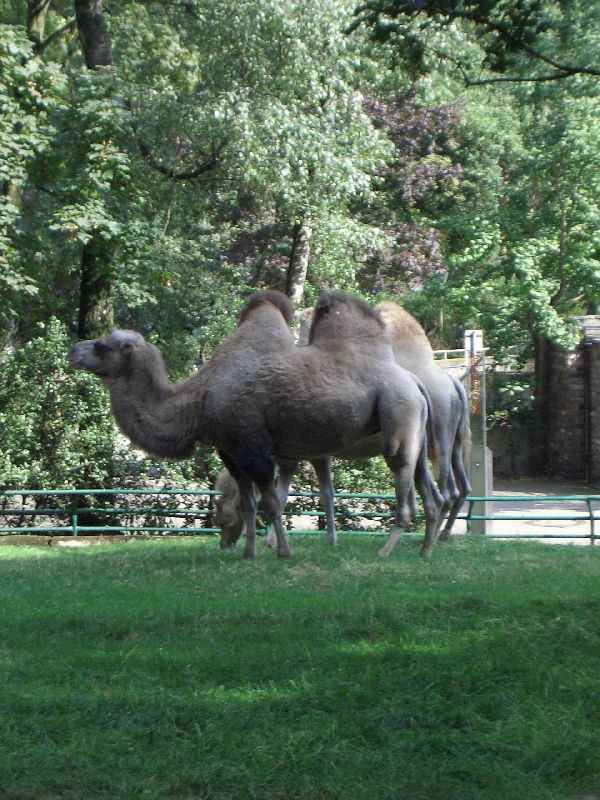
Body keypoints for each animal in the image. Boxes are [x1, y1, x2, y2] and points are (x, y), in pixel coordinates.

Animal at [69, 290, 440, 560]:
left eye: (101, 345)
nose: (73, 350)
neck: (201, 397)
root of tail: (414, 382)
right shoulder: (230, 451)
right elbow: (249, 504)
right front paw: (248, 554)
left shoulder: (255, 448)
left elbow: (271, 502)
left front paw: (283, 552)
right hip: (415, 428)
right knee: (429, 490)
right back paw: (425, 551)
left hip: (397, 414)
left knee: (403, 484)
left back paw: (385, 552)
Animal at [218, 298, 472, 552]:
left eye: (222, 514)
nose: (224, 543)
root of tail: (453, 384)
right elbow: (317, 493)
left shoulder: (299, 454)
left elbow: (294, 495)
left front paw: (279, 542)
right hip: (448, 441)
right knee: (456, 488)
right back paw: (437, 536)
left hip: (437, 437)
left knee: (445, 489)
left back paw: (429, 540)